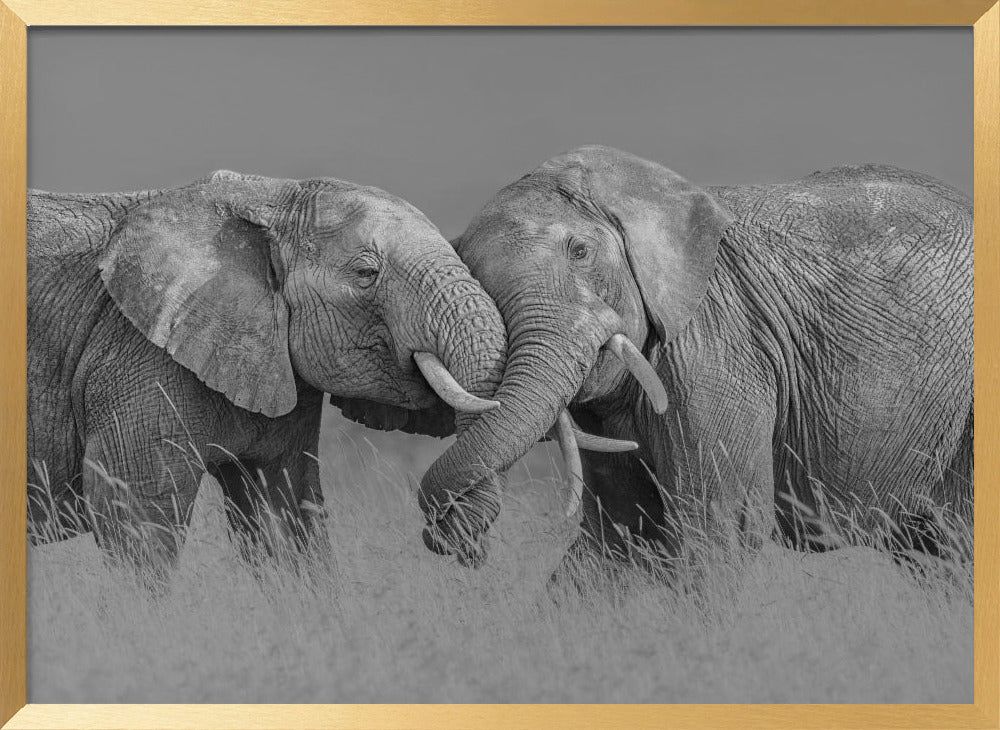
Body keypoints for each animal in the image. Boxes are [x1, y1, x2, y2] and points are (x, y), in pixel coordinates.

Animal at [27, 170, 508, 584]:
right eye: (366, 274)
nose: (457, 544)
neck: (269, 198)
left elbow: (282, 512)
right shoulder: (139, 354)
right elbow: (133, 509)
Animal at [416, 145, 973, 576]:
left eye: (580, 252)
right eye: (473, 275)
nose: (461, 546)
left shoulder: (716, 346)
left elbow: (718, 529)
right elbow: (617, 536)